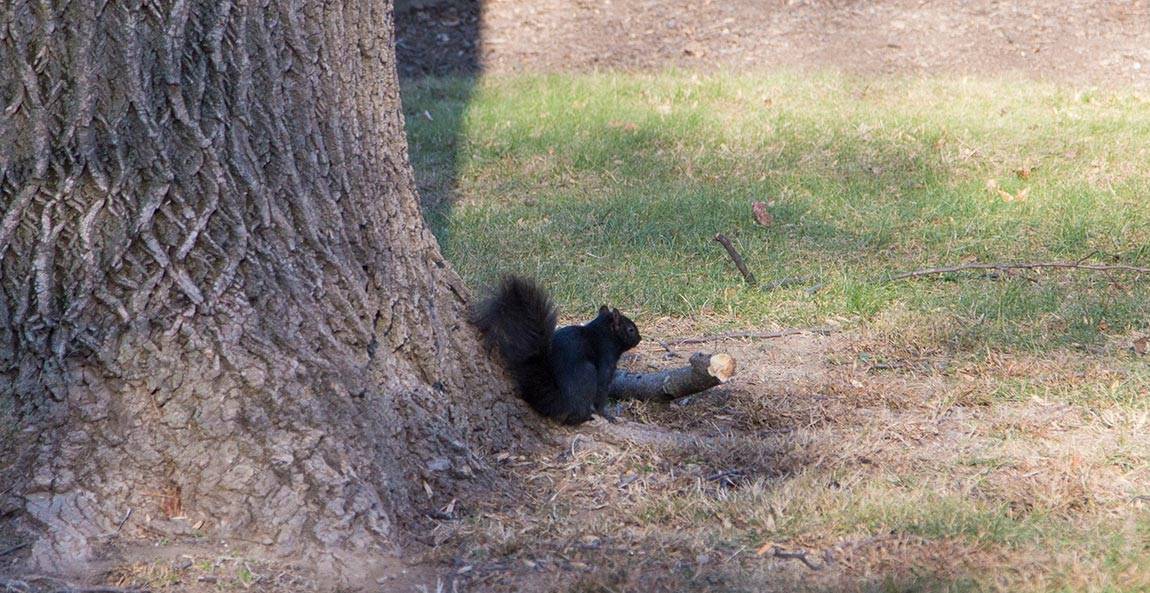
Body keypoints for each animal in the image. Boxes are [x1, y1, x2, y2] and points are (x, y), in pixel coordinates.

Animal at [472, 275, 642, 425]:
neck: (602, 332)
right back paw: (586, 416)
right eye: (631, 329)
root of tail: (559, 400)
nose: (640, 338)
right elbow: (601, 391)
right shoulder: (606, 360)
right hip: (587, 372)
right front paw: (607, 415)